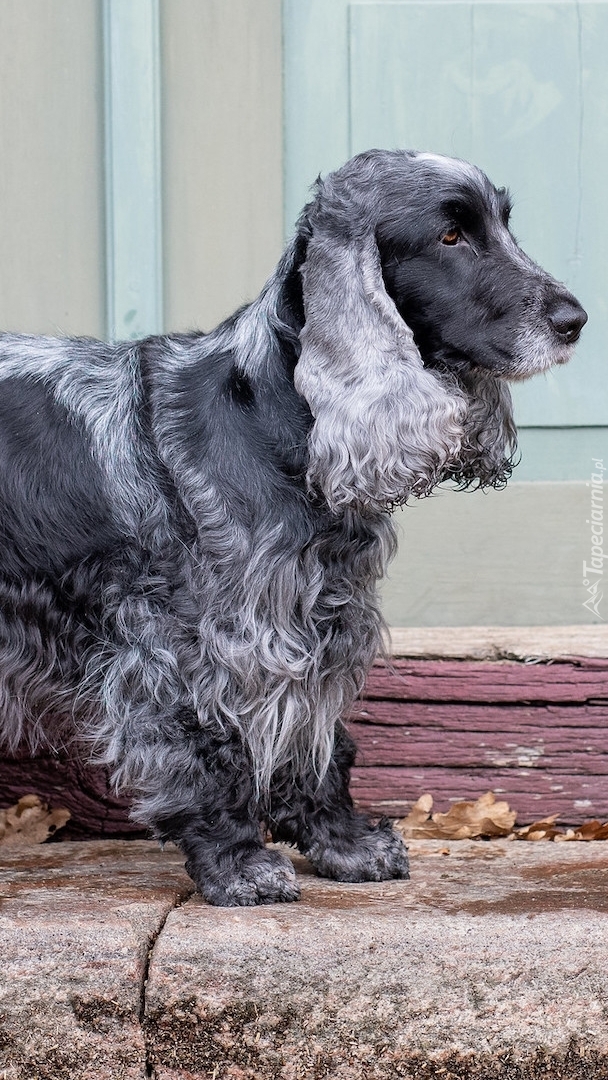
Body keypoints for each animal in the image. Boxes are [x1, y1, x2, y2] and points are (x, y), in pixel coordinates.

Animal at [1, 147, 591, 898]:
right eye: (452, 235)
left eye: (505, 225)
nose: (575, 319)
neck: (278, 420)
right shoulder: (200, 643)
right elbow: (209, 751)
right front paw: (236, 866)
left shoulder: (320, 621)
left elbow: (320, 742)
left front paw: (344, 845)